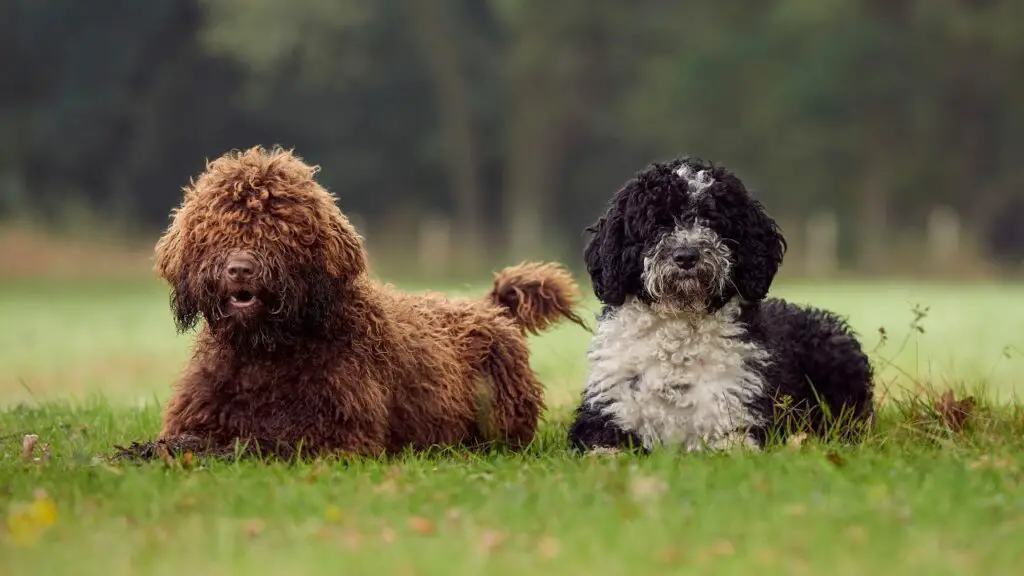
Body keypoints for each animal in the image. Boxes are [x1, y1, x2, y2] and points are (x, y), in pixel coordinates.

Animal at [138, 146, 585, 457]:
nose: (240, 269)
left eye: (278, 227)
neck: (264, 353)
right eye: (217, 227)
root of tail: (491, 307)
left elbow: (253, 446)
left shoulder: (337, 437)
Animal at [569, 156, 872, 453]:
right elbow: (604, 450)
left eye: (712, 221)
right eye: (657, 223)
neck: (679, 343)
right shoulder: (607, 410)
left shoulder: (737, 414)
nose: (686, 256)